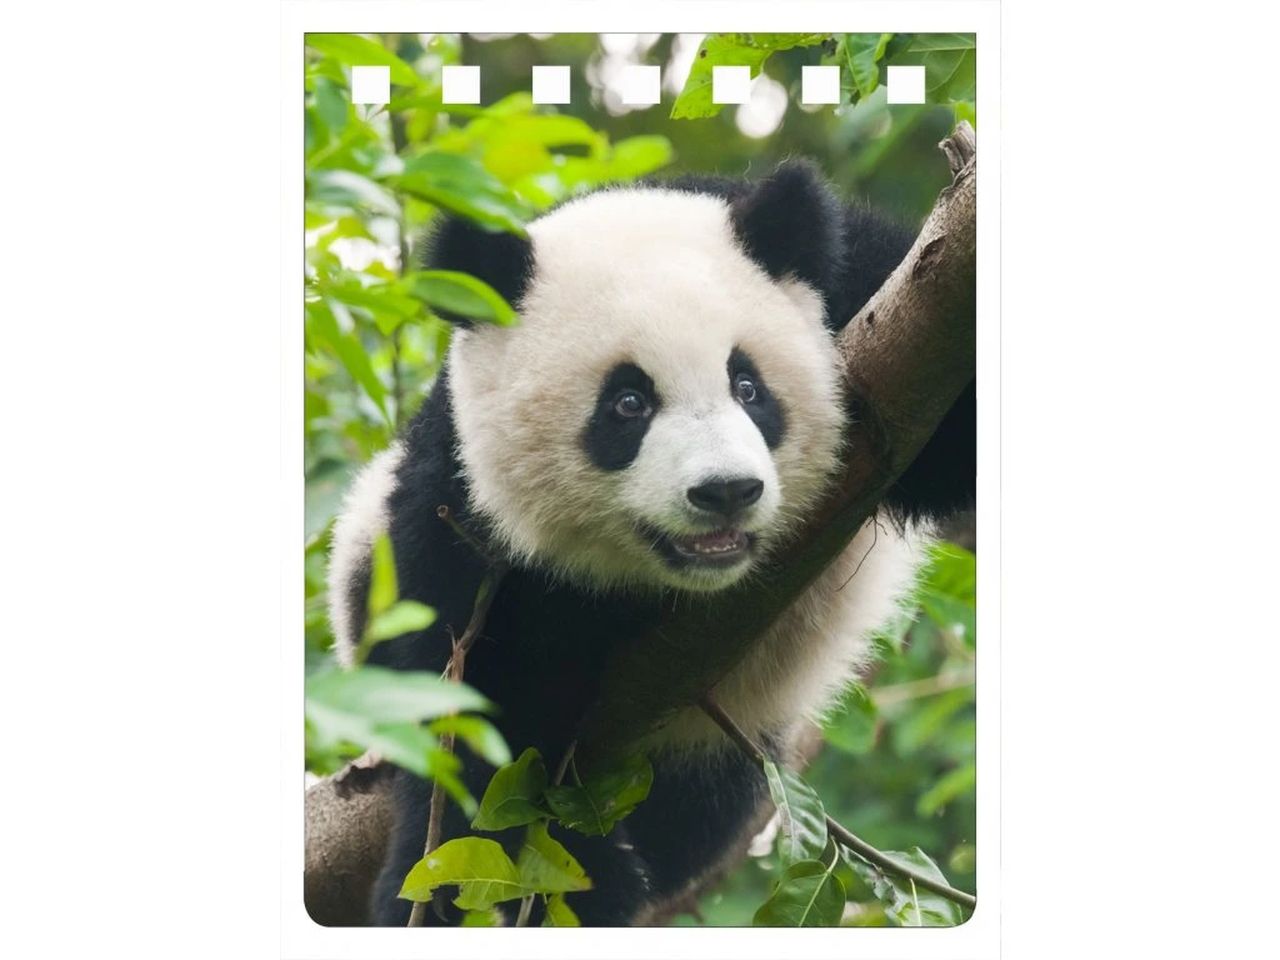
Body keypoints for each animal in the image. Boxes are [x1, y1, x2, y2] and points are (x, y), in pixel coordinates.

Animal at [327, 158, 976, 926]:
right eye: (627, 404)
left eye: (748, 385)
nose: (725, 491)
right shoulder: (458, 511)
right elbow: (475, 711)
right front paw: (465, 884)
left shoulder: (873, 293)